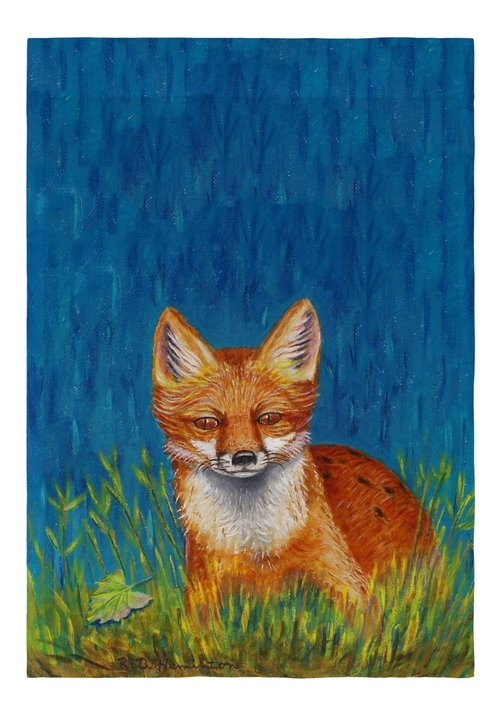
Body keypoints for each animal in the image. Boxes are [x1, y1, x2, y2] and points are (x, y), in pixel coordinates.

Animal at [152, 299, 435, 606]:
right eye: (207, 423)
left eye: (269, 418)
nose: (243, 457)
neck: (255, 547)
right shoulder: (202, 587)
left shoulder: (348, 582)